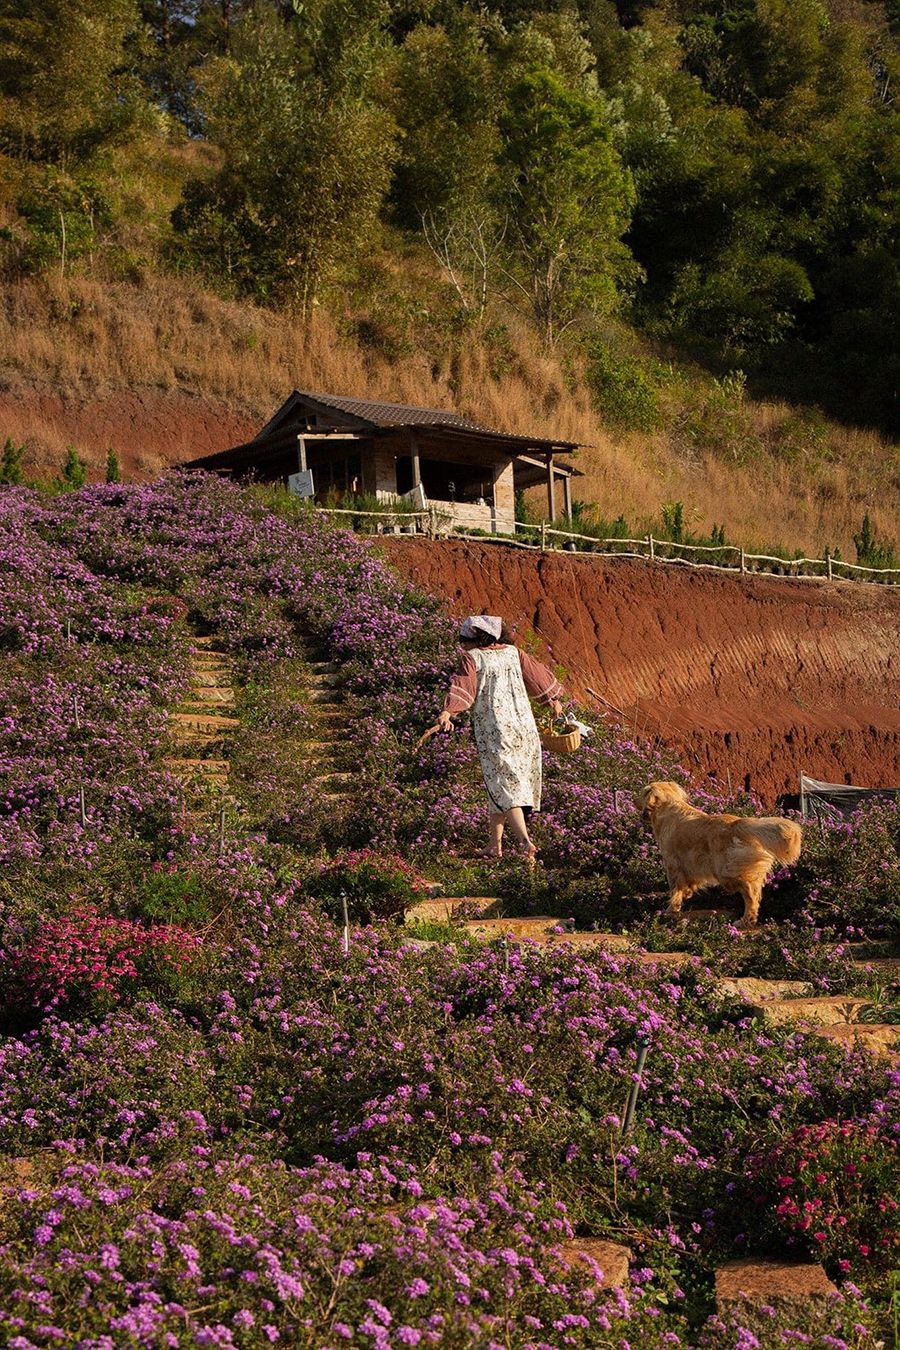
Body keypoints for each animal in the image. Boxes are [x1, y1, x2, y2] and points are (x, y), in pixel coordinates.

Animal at [634, 783, 804, 928]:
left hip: (727, 871)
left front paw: (671, 909)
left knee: (750, 894)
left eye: (642, 792)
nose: (634, 801)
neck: (667, 807)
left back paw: (744, 921)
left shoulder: (672, 863)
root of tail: (738, 824)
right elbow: (686, 885)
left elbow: (675, 889)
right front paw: (687, 894)